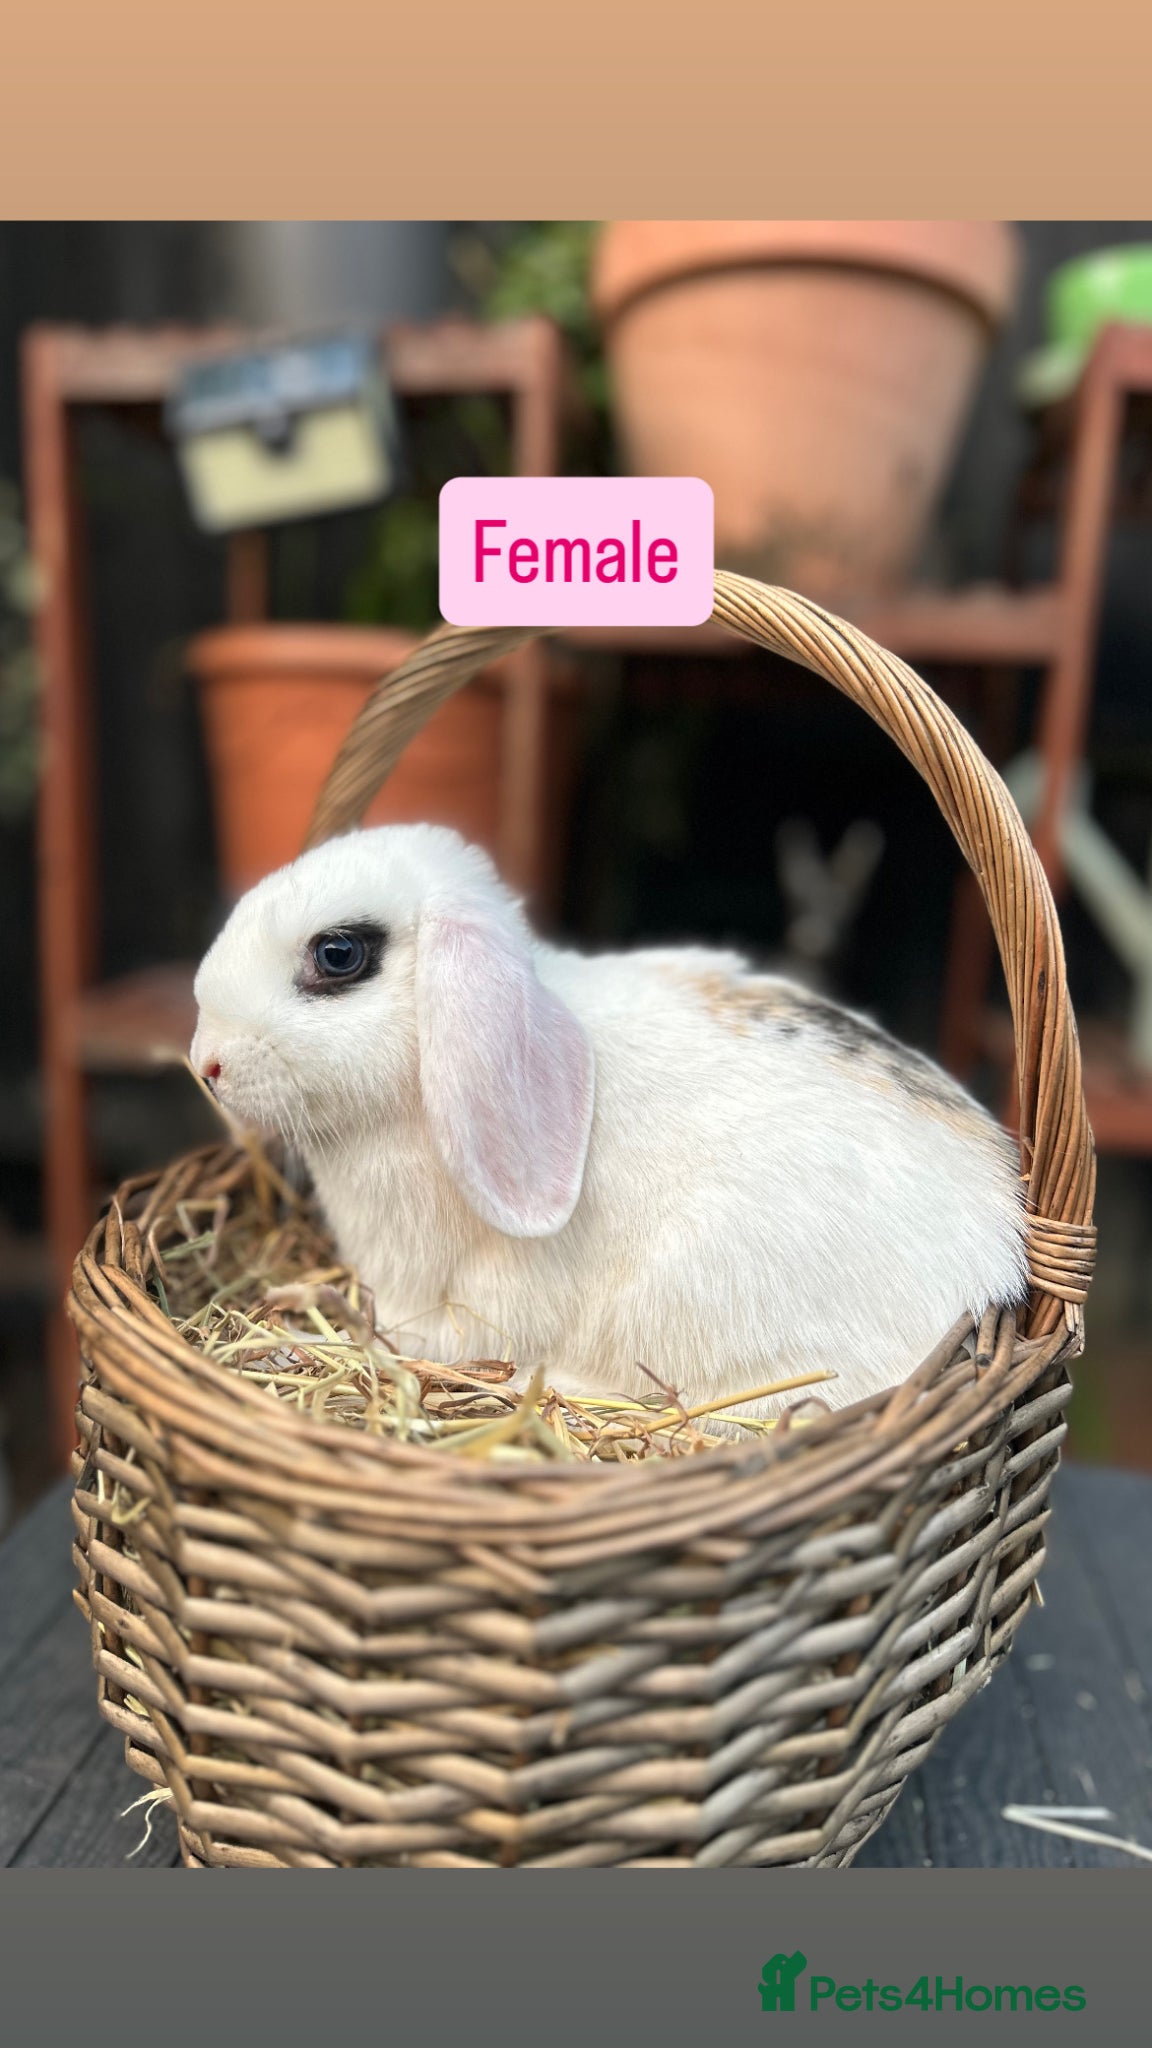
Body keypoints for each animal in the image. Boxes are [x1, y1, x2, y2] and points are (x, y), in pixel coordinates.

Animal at [190, 823, 1028, 1426]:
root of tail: (997, 1272)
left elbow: (411, 1338)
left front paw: (297, 1324)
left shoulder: (453, 1308)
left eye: (339, 954)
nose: (205, 1063)